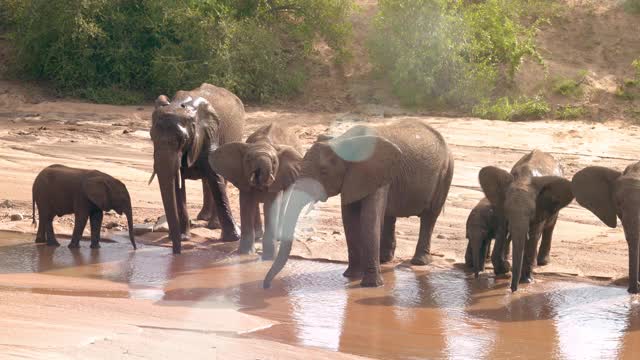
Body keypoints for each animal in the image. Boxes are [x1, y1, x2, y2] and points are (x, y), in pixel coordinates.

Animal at [150, 83, 245, 253]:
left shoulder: (210, 134)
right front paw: (182, 237)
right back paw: (203, 218)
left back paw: (213, 225)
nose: (176, 252)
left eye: (183, 139)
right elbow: (177, 186)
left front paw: (233, 238)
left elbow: (216, 178)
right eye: (151, 136)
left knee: (220, 178)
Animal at [209, 124, 302, 258]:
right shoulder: (242, 176)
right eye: (248, 159)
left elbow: (271, 205)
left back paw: (278, 238)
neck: (263, 142)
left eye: (274, 162)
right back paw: (258, 236)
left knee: (283, 201)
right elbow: (246, 203)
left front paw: (269, 257)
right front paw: (245, 254)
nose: (258, 174)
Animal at [478, 150, 572, 292]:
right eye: (507, 210)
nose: (513, 290)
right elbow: (502, 231)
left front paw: (526, 281)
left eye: (531, 213)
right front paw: (504, 268)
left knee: (549, 227)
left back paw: (542, 262)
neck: (523, 179)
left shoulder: (540, 208)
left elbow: (533, 236)